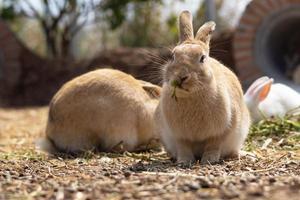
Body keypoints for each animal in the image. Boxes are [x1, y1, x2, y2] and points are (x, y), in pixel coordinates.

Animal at [155, 10, 251, 164]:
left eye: (202, 58)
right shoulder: (179, 135)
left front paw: (209, 160)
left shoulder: (220, 131)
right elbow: (183, 147)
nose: (181, 76)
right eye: (173, 56)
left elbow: (214, 144)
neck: (191, 95)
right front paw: (184, 161)